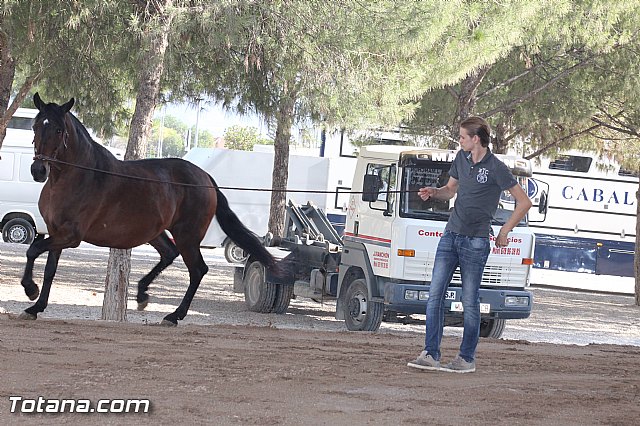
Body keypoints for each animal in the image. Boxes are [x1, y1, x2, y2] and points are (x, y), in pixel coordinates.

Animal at [19, 94, 276, 326]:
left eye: (59, 130)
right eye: (35, 126)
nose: (38, 170)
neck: (78, 176)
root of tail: (205, 178)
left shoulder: (70, 236)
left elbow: (32, 249)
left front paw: (30, 289)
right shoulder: (56, 232)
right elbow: (49, 269)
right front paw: (35, 307)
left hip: (187, 236)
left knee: (197, 270)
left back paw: (173, 316)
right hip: (155, 232)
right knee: (169, 254)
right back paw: (142, 293)